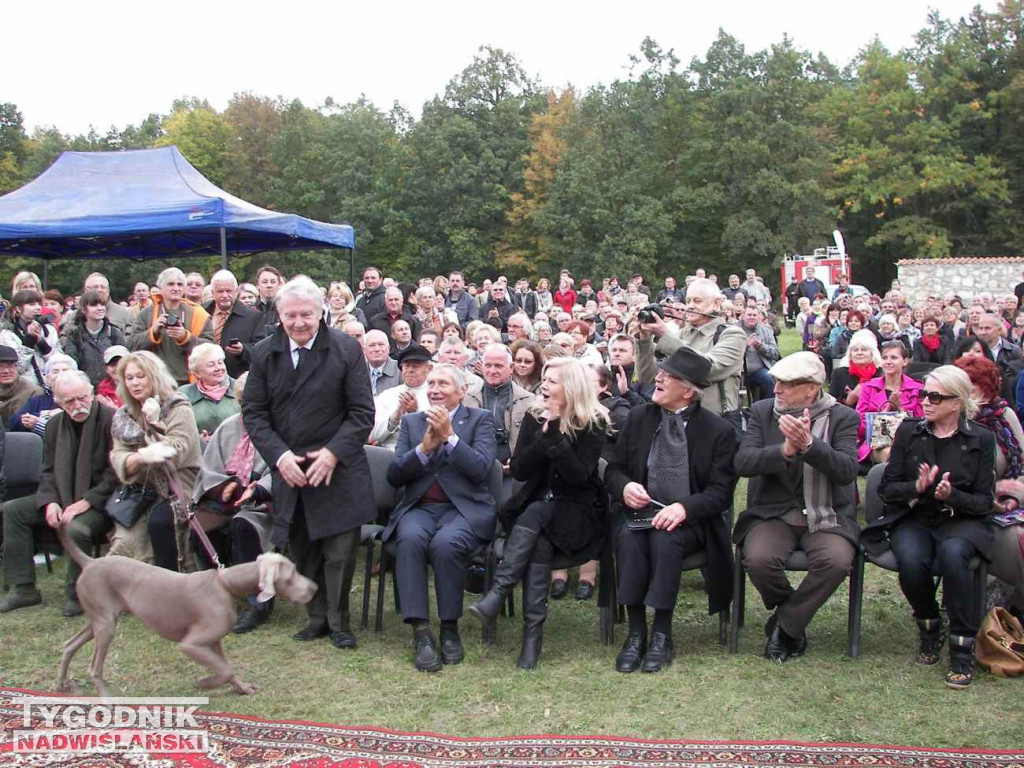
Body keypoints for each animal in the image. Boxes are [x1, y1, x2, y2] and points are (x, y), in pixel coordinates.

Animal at [52, 528, 311, 696]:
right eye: (291, 574)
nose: (314, 588)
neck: (225, 583)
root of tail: (90, 562)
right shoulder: (191, 644)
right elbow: (225, 669)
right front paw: (204, 684)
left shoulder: (214, 641)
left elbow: (227, 667)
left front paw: (243, 688)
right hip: (105, 624)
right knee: (93, 668)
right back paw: (107, 698)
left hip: (99, 619)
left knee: (68, 645)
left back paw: (61, 684)